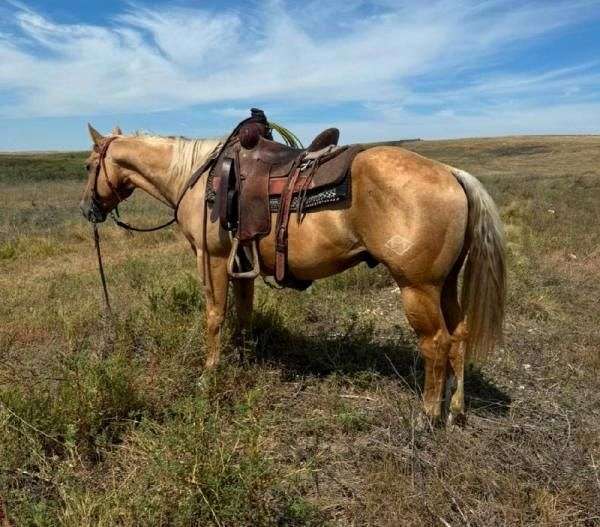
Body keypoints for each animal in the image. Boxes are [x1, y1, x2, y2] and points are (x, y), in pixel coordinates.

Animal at [77, 124, 504, 424]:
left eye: (88, 166)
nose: (86, 209)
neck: (195, 179)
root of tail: (451, 173)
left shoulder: (212, 258)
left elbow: (215, 316)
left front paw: (208, 374)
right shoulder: (241, 262)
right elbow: (243, 314)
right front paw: (243, 357)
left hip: (417, 287)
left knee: (436, 343)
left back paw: (428, 416)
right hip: (445, 285)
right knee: (460, 334)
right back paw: (456, 409)